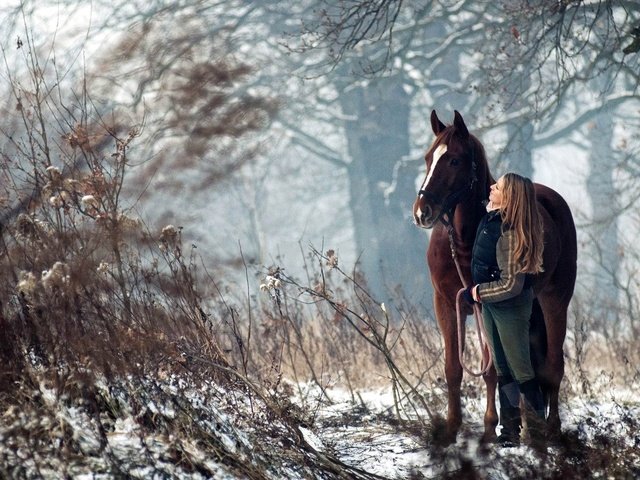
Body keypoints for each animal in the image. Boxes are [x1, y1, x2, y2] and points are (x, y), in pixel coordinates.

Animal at [412, 110, 576, 444]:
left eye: (454, 160)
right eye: (427, 158)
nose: (422, 212)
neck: (466, 240)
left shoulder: (483, 305)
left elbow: (490, 371)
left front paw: (489, 428)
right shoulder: (446, 304)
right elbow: (453, 368)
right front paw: (451, 430)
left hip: (555, 300)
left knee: (553, 365)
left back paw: (550, 430)